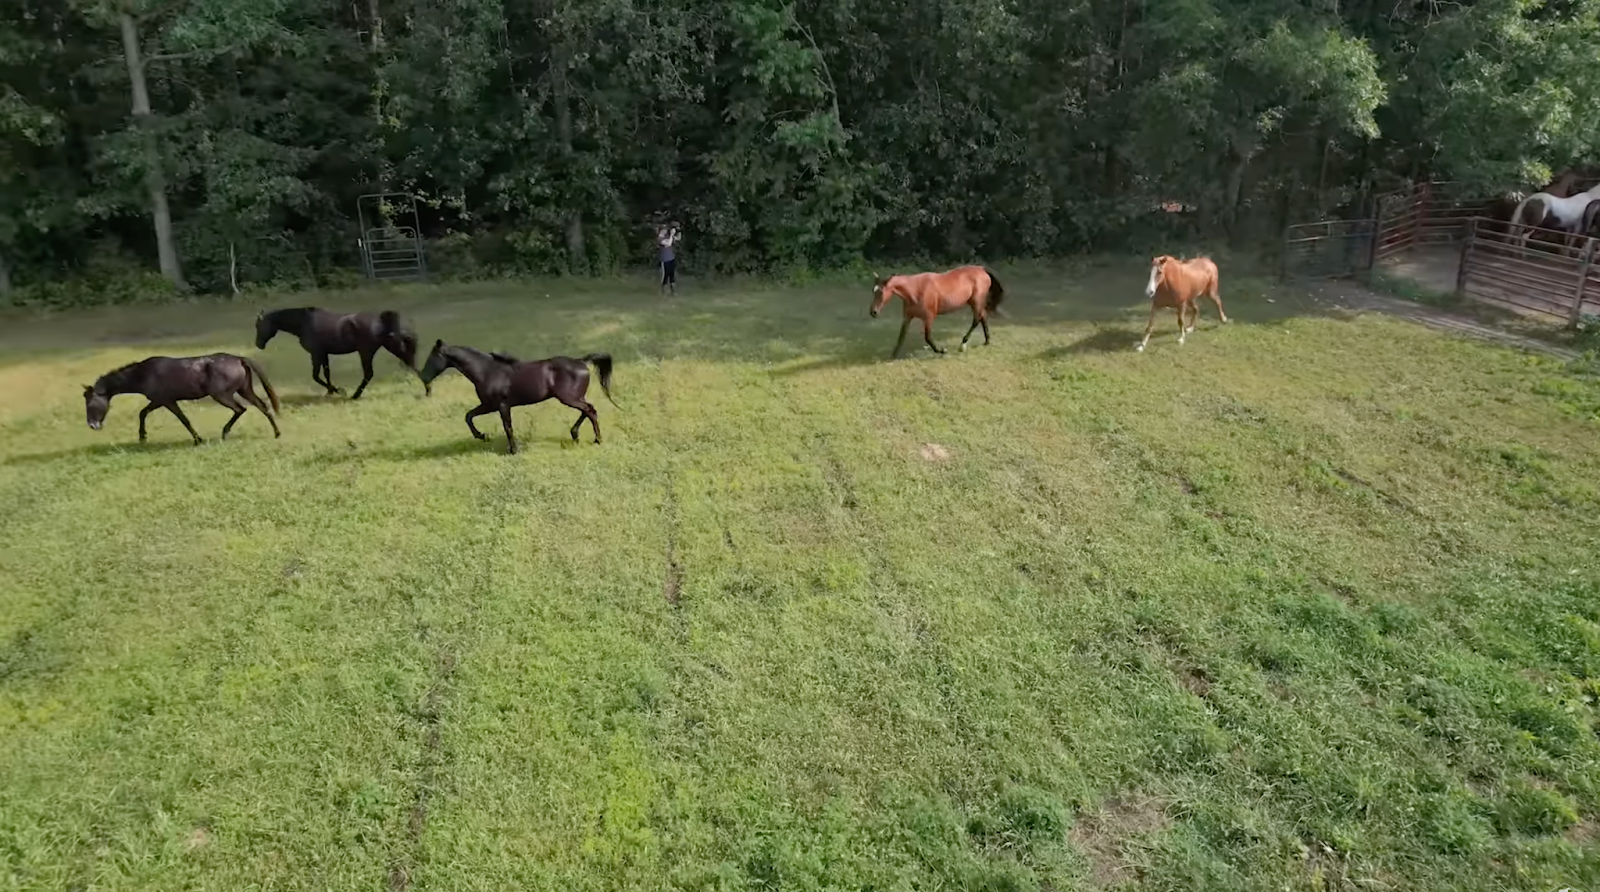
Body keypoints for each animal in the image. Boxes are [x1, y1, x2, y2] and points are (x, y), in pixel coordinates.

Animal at [84, 353, 281, 445]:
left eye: (91, 403)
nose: (92, 425)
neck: (143, 374)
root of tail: (239, 359)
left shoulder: (165, 401)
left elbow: (183, 420)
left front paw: (198, 439)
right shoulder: (159, 401)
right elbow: (143, 413)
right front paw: (142, 437)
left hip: (222, 395)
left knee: (240, 409)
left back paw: (225, 433)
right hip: (245, 389)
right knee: (263, 406)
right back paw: (277, 433)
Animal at [254, 307, 426, 399]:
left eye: (259, 326)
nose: (258, 345)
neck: (304, 323)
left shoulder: (316, 354)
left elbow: (316, 376)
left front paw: (339, 390)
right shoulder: (324, 354)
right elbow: (326, 373)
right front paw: (331, 391)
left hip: (366, 352)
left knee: (369, 374)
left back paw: (355, 396)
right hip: (392, 347)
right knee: (412, 363)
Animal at [418, 340, 618, 454]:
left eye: (432, 358)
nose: (423, 377)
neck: (487, 371)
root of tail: (581, 361)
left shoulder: (500, 405)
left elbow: (507, 427)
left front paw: (511, 449)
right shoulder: (489, 405)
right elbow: (469, 416)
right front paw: (483, 436)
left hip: (569, 397)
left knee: (590, 410)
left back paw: (596, 439)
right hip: (574, 397)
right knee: (588, 410)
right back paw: (575, 434)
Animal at [868, 265, 1005, 359]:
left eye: (881, 292)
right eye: (873, 291)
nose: (873, 312)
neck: (915, 290)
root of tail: (982, 269)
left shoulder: (929, 317)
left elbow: (928, 337)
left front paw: (942, 350)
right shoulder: (907, 317)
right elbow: (901, 336)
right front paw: (892, 355)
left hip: (976, 301)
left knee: (977, 319)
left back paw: (963, 343)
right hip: (974, 302)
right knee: (983, 317)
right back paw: (987, 341)